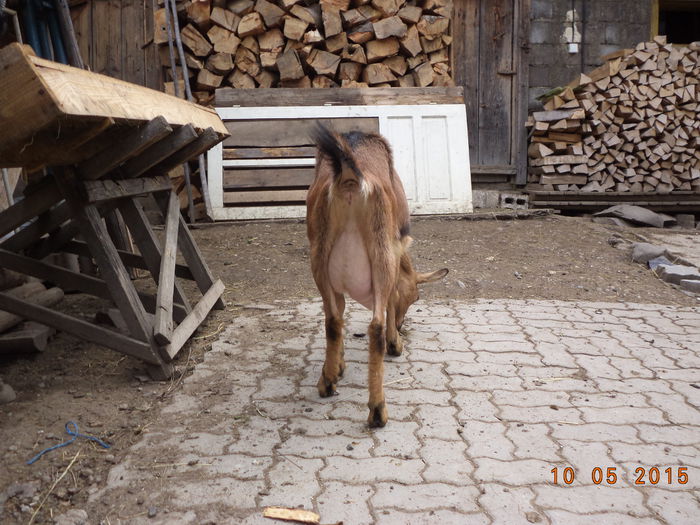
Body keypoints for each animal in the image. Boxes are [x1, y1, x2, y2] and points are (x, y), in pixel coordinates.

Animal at [306, 126, 448, 426]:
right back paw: (378, 409)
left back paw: (327, 383)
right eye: (416, 297)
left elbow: (338, 312)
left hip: (319, 257)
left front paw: (337, 366)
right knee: (376, 327)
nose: (404, 326)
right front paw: (396, 343)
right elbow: (391, 303)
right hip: (381, 255)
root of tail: (349, 178)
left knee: (332, 320)